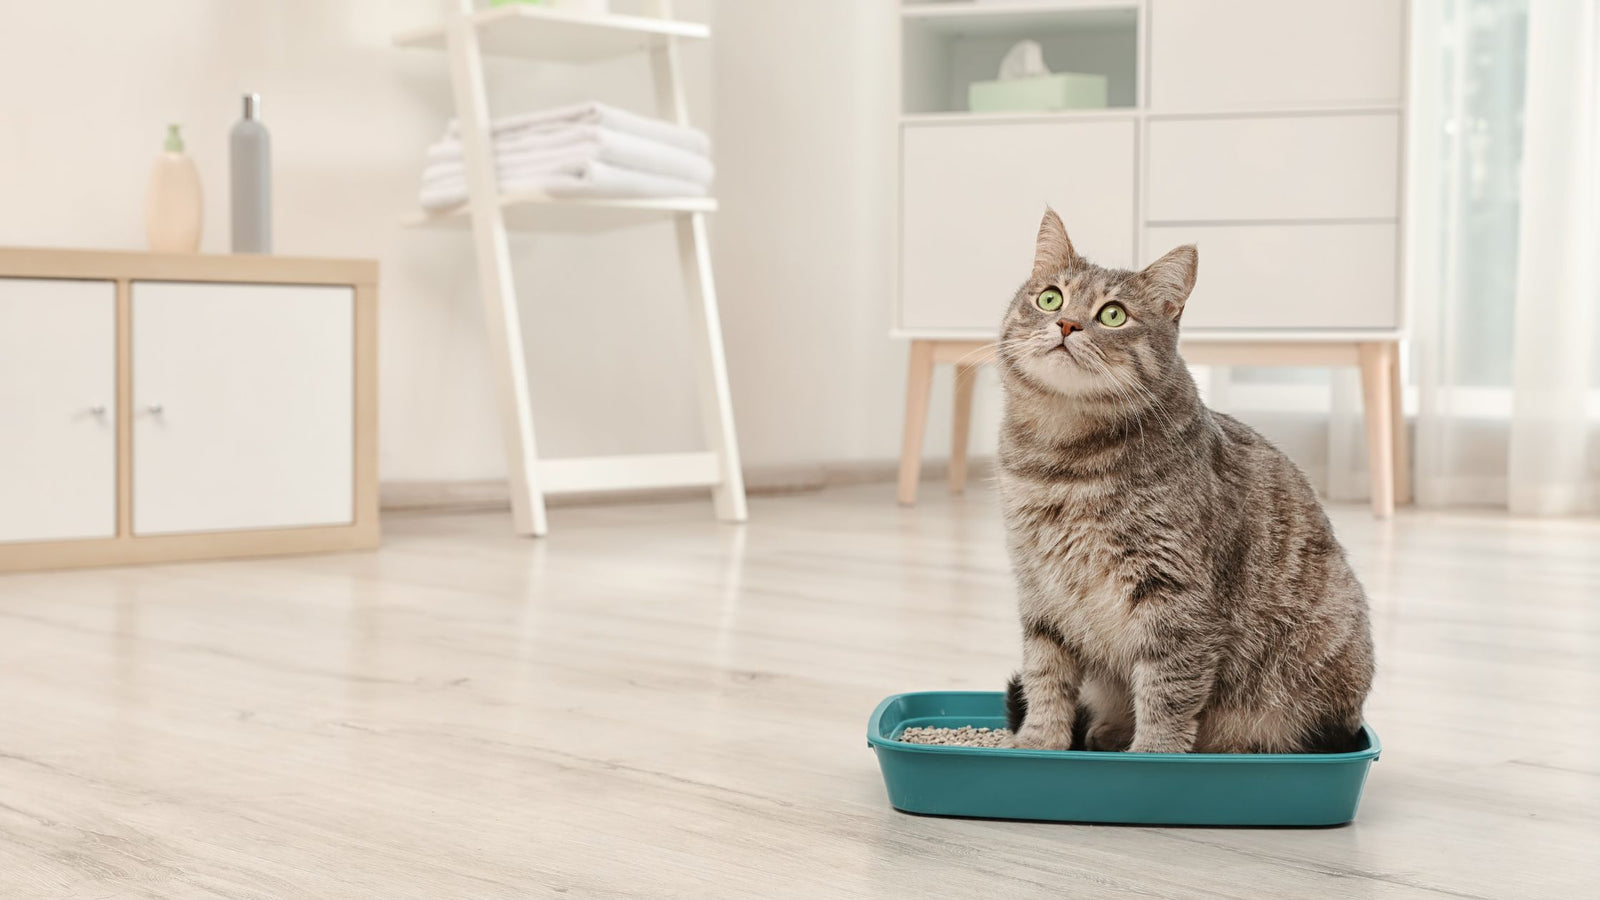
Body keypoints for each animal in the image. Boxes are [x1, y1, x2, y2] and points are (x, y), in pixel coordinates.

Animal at [998, 209, 1376, 749]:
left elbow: (1167, 691)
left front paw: (1152, 755)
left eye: (1113, 315)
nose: (1066, 323)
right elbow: (1045, 677)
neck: (1062, 459)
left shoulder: (1176, 595)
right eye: (1050, 297)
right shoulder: (1040, 588)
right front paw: (1037, 743)